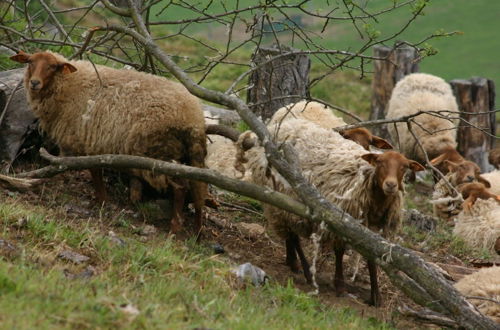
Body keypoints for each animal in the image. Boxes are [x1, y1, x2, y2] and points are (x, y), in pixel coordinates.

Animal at [11, 49, 207, 235]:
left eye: (52, 67)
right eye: (30, 62)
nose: (34, 83)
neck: (68, 83)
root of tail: (194, 118)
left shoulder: (84, 139)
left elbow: (88, 170)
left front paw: (101, 201)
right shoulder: (93, 143)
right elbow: (95, 171)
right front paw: (102, 200)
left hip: (157, 152)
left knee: (181, 187)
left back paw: (175, 227)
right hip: (188, 154)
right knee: (198, 191)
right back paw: (197, 231)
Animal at [236, 117, 424, 306]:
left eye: (404, 167)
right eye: (380, 163)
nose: (391, 185)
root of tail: (280, 125)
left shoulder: (373, 230)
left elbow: (372, 261)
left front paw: (375, 297)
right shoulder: (340, 219)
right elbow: (339, 252)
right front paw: (340, 286)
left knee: (290, 233)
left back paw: (292, 262)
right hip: (284, 197)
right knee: (293, 235)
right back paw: (305, 270)